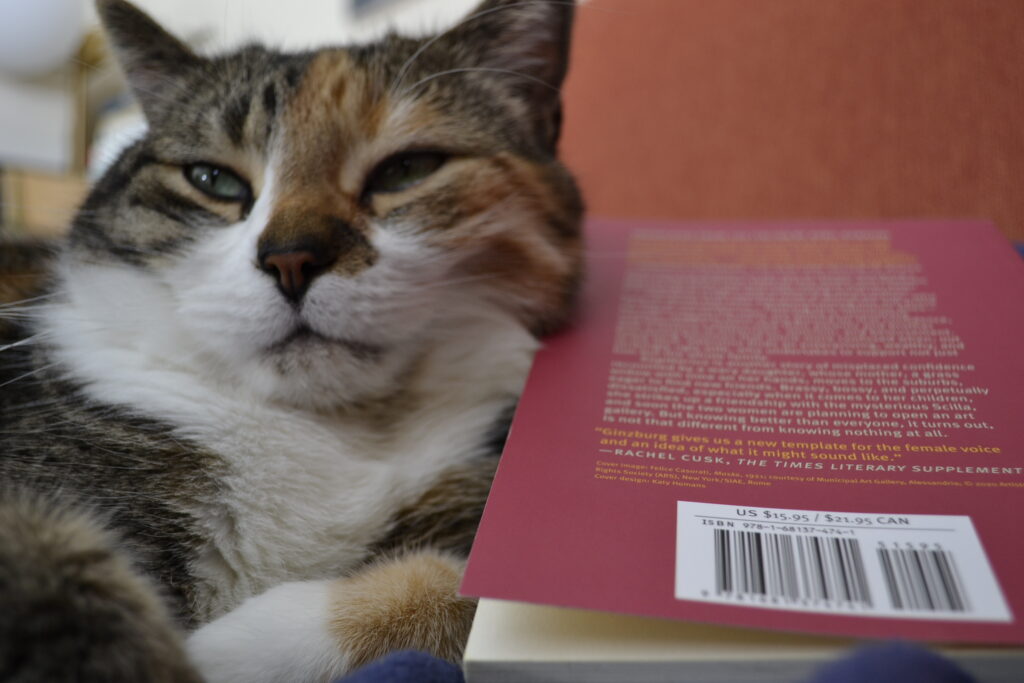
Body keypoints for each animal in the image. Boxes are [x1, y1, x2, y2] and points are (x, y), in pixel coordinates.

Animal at [0, 0, 581, 679]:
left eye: (406, 169)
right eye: (212, 179)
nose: (291, 257)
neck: (330, 429)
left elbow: (460, 586)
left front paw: (233, 647)